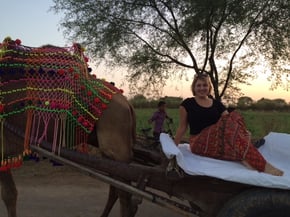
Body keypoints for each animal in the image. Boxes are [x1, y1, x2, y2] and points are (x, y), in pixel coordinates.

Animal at [0, 36, 137, 217]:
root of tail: (127, 103)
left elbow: (9, 194)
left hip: (117, 145)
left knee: (124, 195)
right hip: (109, 151)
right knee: (116, 189)